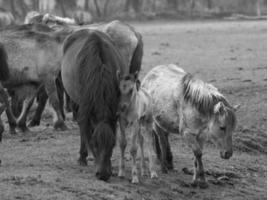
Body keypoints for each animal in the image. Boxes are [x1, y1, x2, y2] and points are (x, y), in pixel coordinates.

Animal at [61, 29, 126, 181]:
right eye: (94, 143)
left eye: (112, 144)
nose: (103, 174)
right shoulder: (84, 108)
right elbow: (85, 130)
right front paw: (82, 157)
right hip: (75, 102)